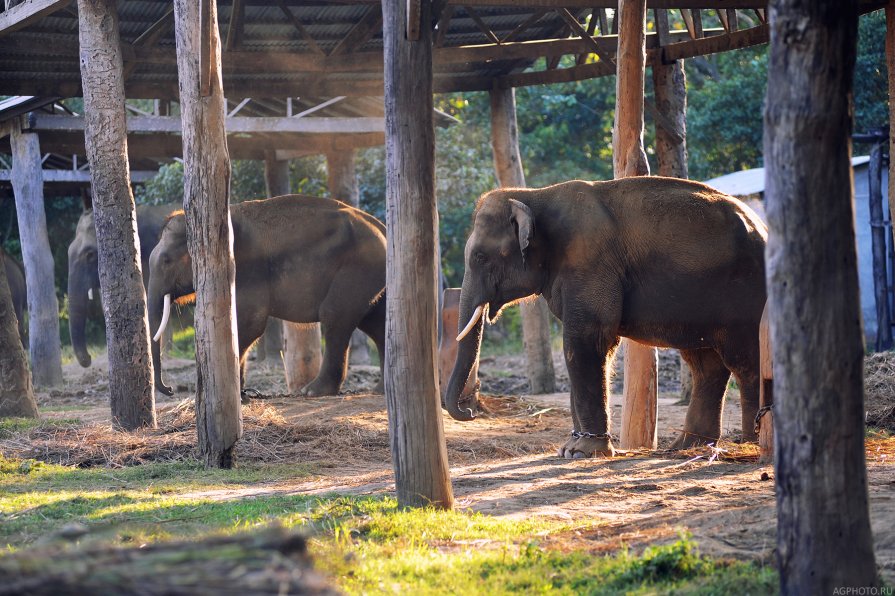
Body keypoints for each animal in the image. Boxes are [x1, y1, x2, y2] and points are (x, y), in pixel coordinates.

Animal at [149, 194, 386, 396]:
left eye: (167, 261)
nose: (170, 389)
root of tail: (381, 226)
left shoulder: (246, 268)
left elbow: (249, 323)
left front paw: (238, 395)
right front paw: (242, 395)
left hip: (357, 267)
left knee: (335, 316)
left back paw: (313, 392)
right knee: (375, 323)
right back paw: (380, 390)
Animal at [444, 175, 768, 458]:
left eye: (480, 258)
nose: (469, 412)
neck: (534, 195)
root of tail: (763, 227)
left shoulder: (590, 262)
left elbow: (586, 342)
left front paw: (582, 452)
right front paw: (569, 449)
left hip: (745, 292)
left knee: (745, 360)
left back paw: (750, 443)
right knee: (706, 363)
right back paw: (687, 447)